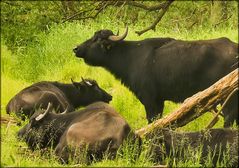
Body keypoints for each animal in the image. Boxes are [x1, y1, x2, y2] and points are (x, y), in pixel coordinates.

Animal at [74, 26, 238, 125]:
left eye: (97, 40)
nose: (76, 48)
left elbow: (152, 121)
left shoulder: (150, 100)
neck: (130, 57)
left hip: (227, 99)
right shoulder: (159, 101)